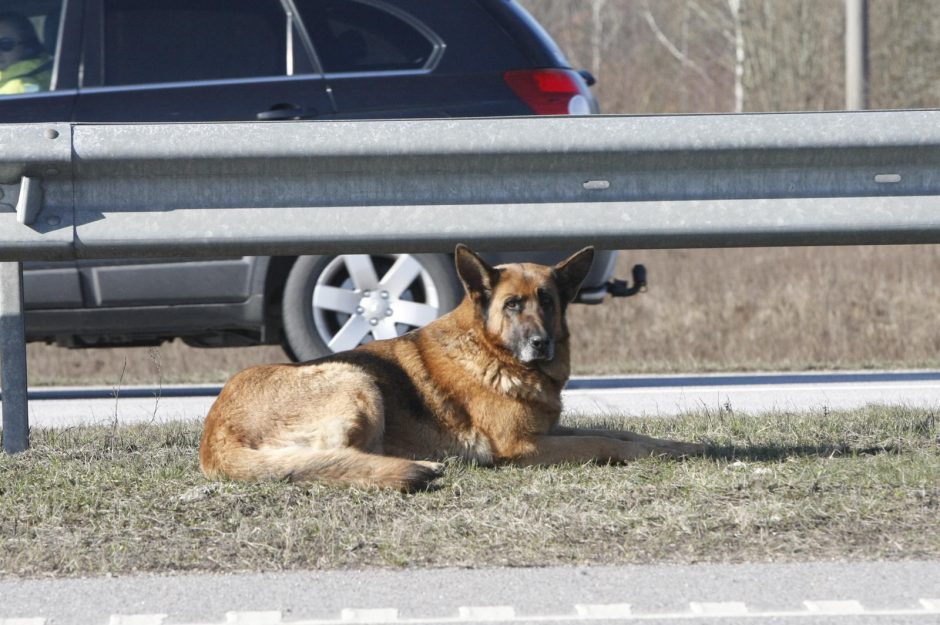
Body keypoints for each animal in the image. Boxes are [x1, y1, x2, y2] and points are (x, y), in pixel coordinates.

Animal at [200, 246, 704, 490]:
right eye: (513, 304)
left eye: (547, 301)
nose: (541, 344)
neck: (491, 351)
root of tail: (214, 434)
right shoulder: (523, 446)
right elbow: (605, 442)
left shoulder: (548, 429)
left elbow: (624, 432)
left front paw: (680, 446)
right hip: (355, 378)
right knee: (337, 456)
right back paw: (418, 464)